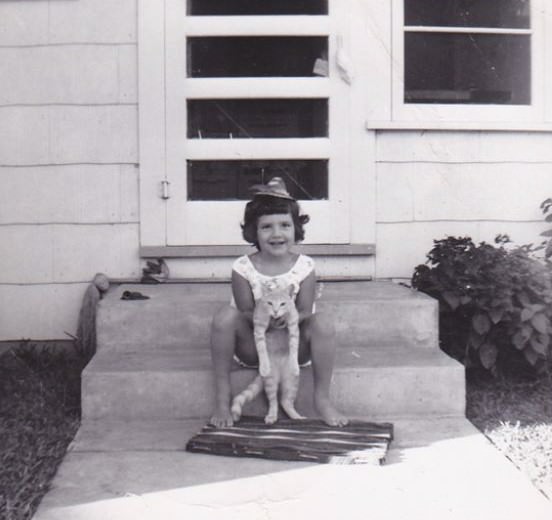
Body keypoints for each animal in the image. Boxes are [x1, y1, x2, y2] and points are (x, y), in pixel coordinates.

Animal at [231, 286, 304, 424]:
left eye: (283, 304)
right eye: (270, 303)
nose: (275, 311)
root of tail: (280, 374)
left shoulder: (293, 325)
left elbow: (294, 345)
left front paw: (294, 365)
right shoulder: (259, 327)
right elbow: (261, 347)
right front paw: (264, 366)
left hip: (291, 382)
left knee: (285, 401)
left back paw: (297, 417)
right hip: (271, 380)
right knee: (274, 401)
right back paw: (272, 416)